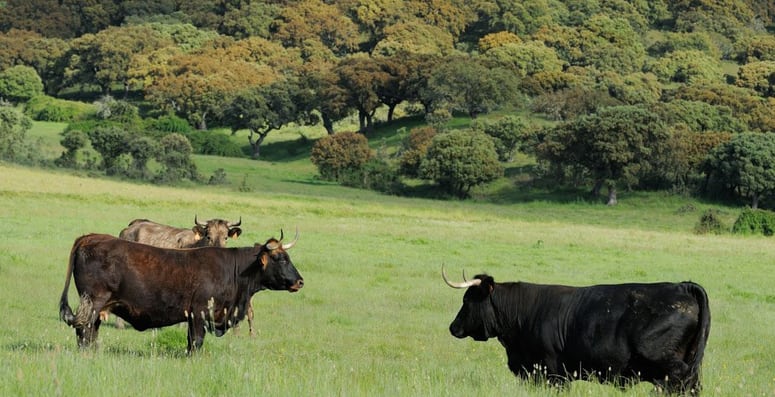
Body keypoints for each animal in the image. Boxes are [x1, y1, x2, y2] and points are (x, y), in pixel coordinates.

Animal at [58, 230, 304, 352]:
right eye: (281, 258)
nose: (300, 281)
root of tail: (91, 237)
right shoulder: (199, 313)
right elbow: (196, 342)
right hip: (93, 302)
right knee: (84, 330)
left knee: (90, 330)